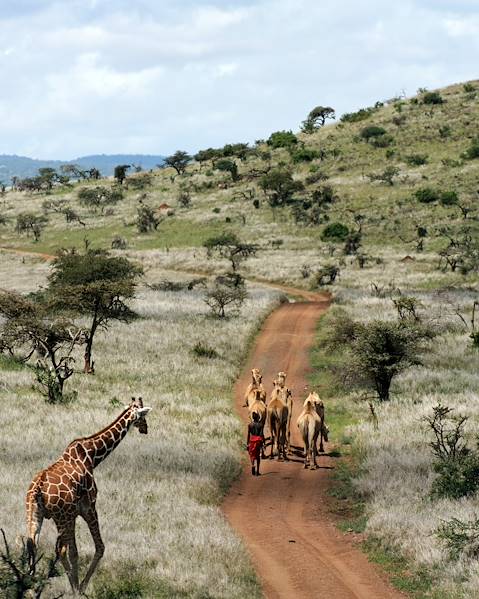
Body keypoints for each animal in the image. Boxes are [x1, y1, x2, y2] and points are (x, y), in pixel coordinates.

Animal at [25, 398, 152, 596]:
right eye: (143, 415)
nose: (145, 428)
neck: (92, 456)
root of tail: (37, 488)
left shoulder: (73, 514)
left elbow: (73, 551)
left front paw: (77, 586)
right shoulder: (89, 507)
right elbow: (99, 547)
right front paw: (80, 588)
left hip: (34, 514)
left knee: (31, 544)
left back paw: (30, 587)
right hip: (62, 517)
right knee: (61, 549)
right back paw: (69, 587)